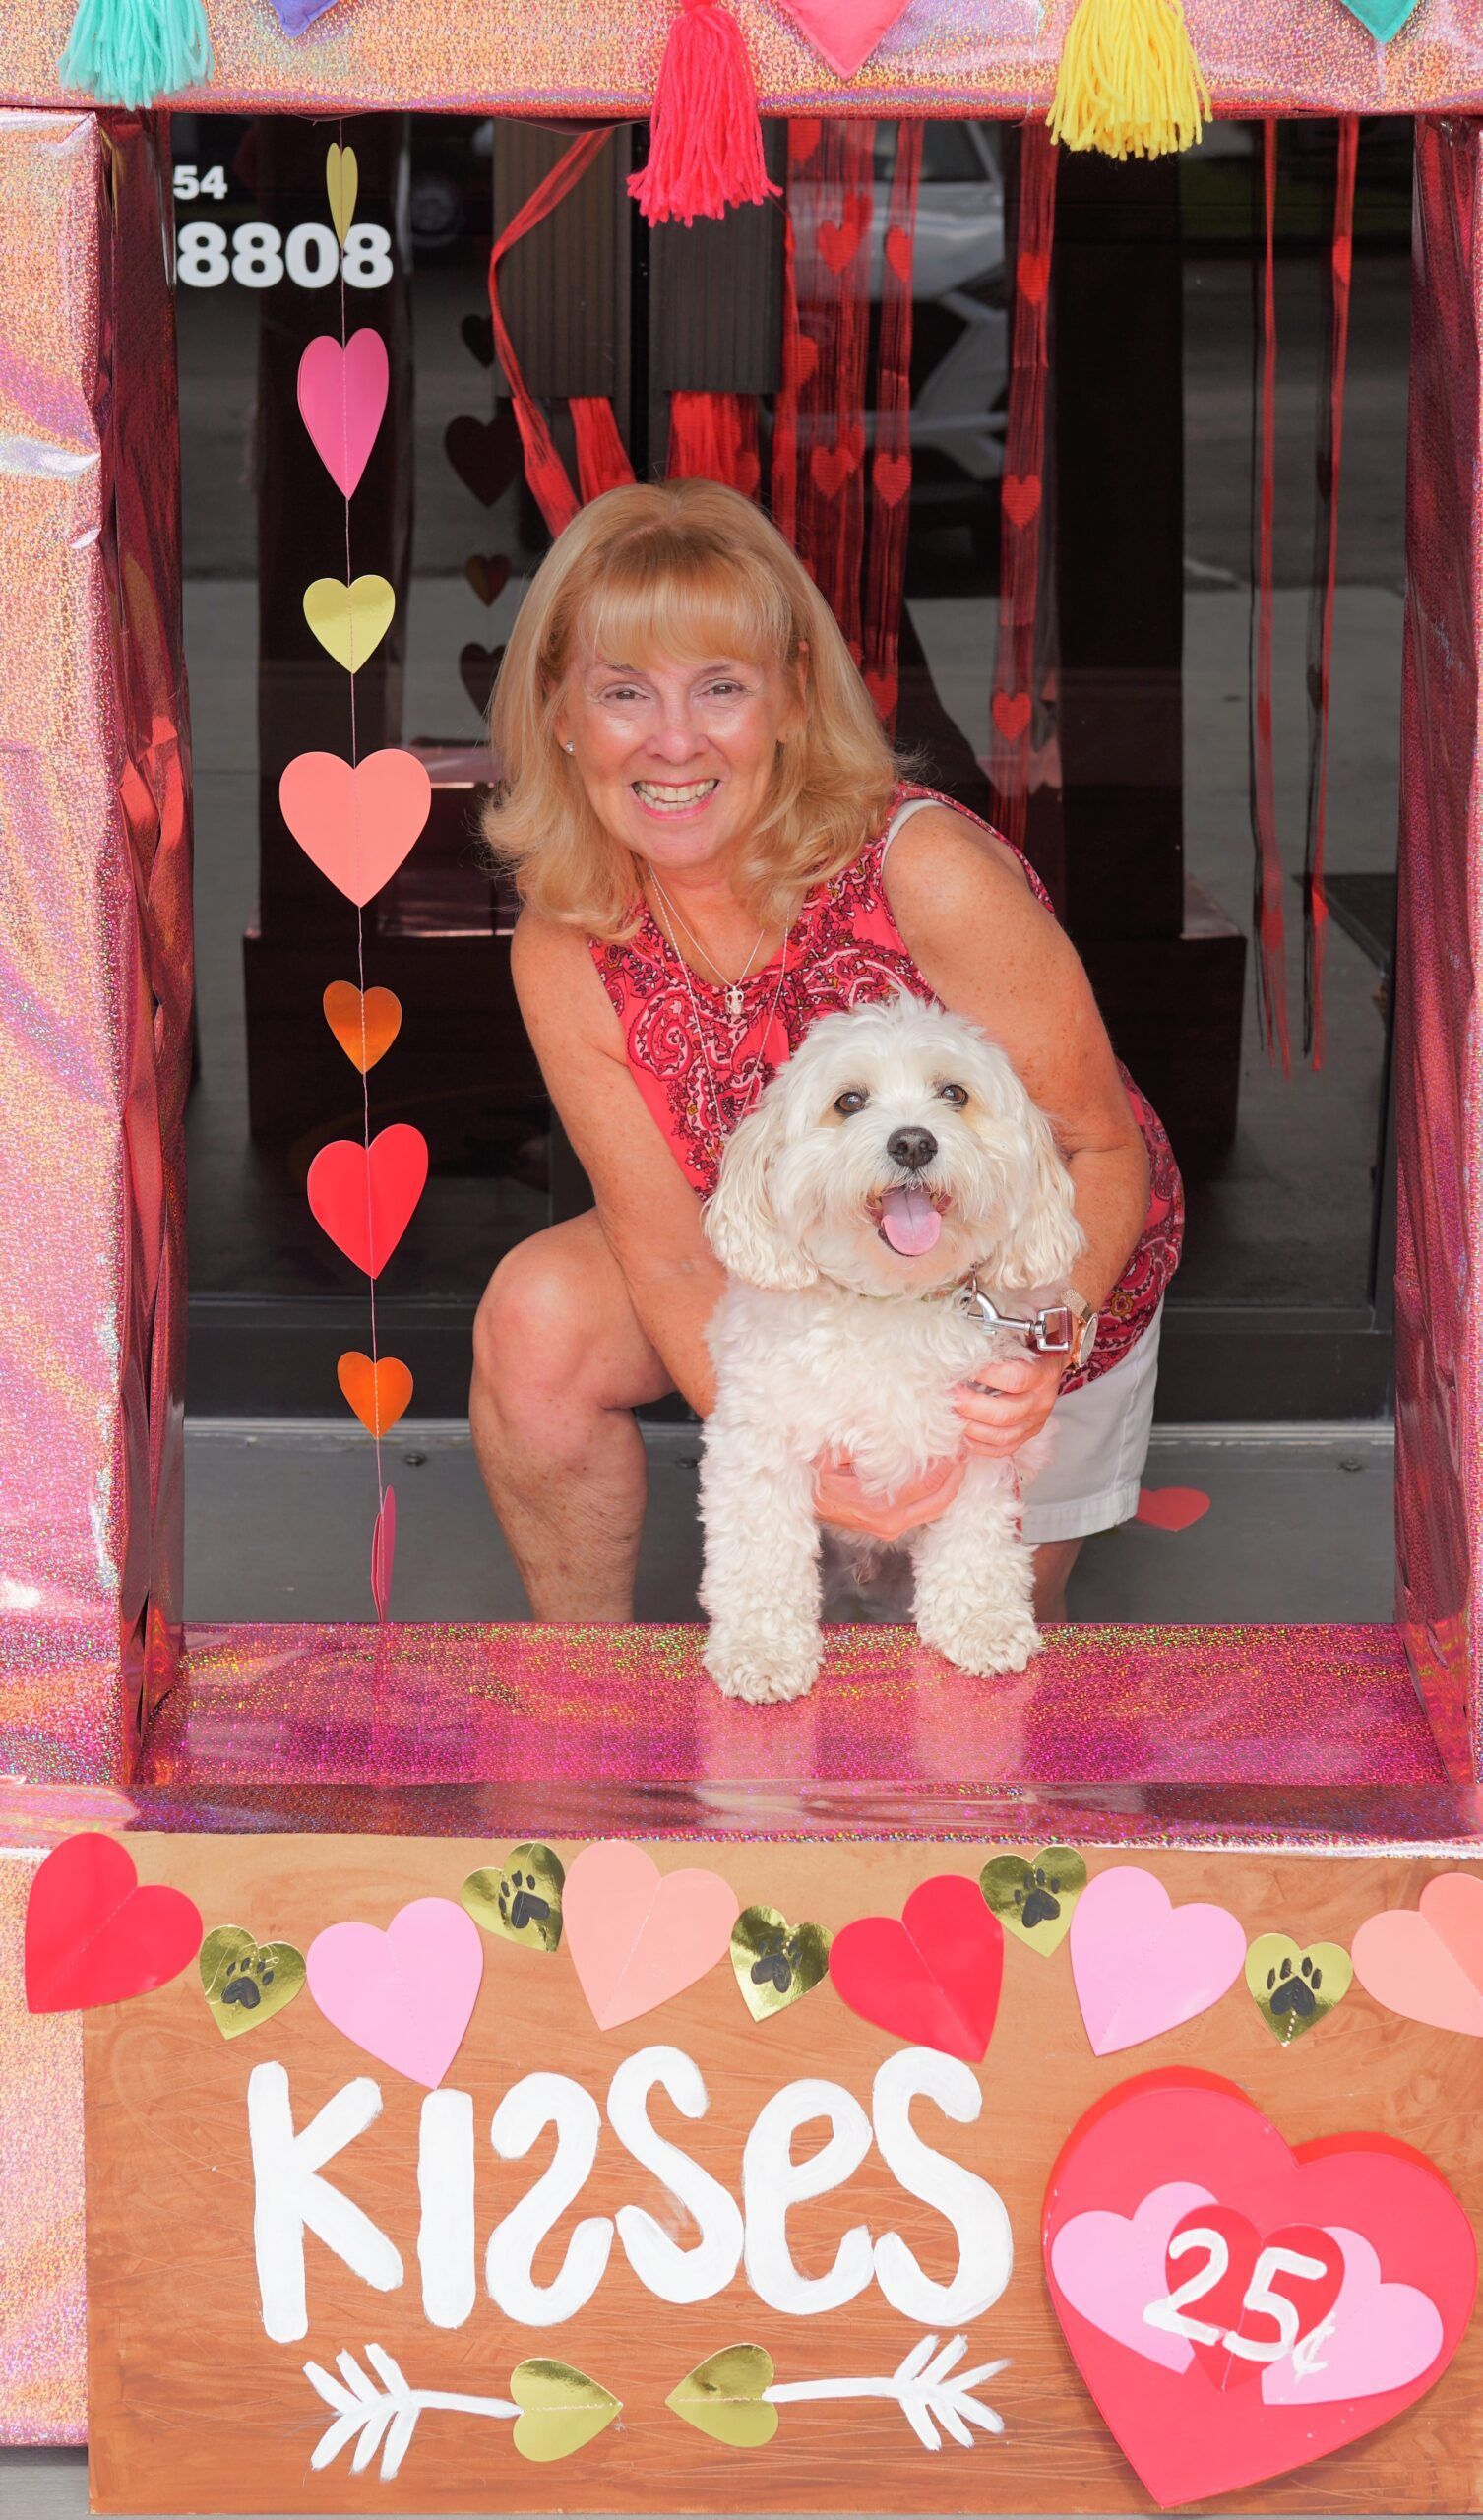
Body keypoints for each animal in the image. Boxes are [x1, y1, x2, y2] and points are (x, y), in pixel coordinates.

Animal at [700, 992, 1082, 1703]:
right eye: (849, 1101)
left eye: (954, 1094)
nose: (912, 1141)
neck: (890, 1303)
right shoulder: (757, 1450)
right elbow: (761, 1556)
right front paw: (762, 1651)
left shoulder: (981, 1447)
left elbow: (975, 1545)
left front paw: (980, 1623)